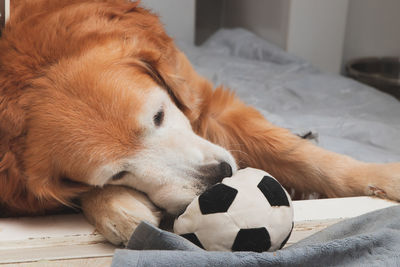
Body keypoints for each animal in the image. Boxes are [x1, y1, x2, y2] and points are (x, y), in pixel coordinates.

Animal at [2, 0, 400, 247]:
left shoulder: (206, 102)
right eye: (116, 174)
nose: (217, 178)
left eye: (159, 115)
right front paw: (118, 207)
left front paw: (382, 177)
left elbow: (303, 156)